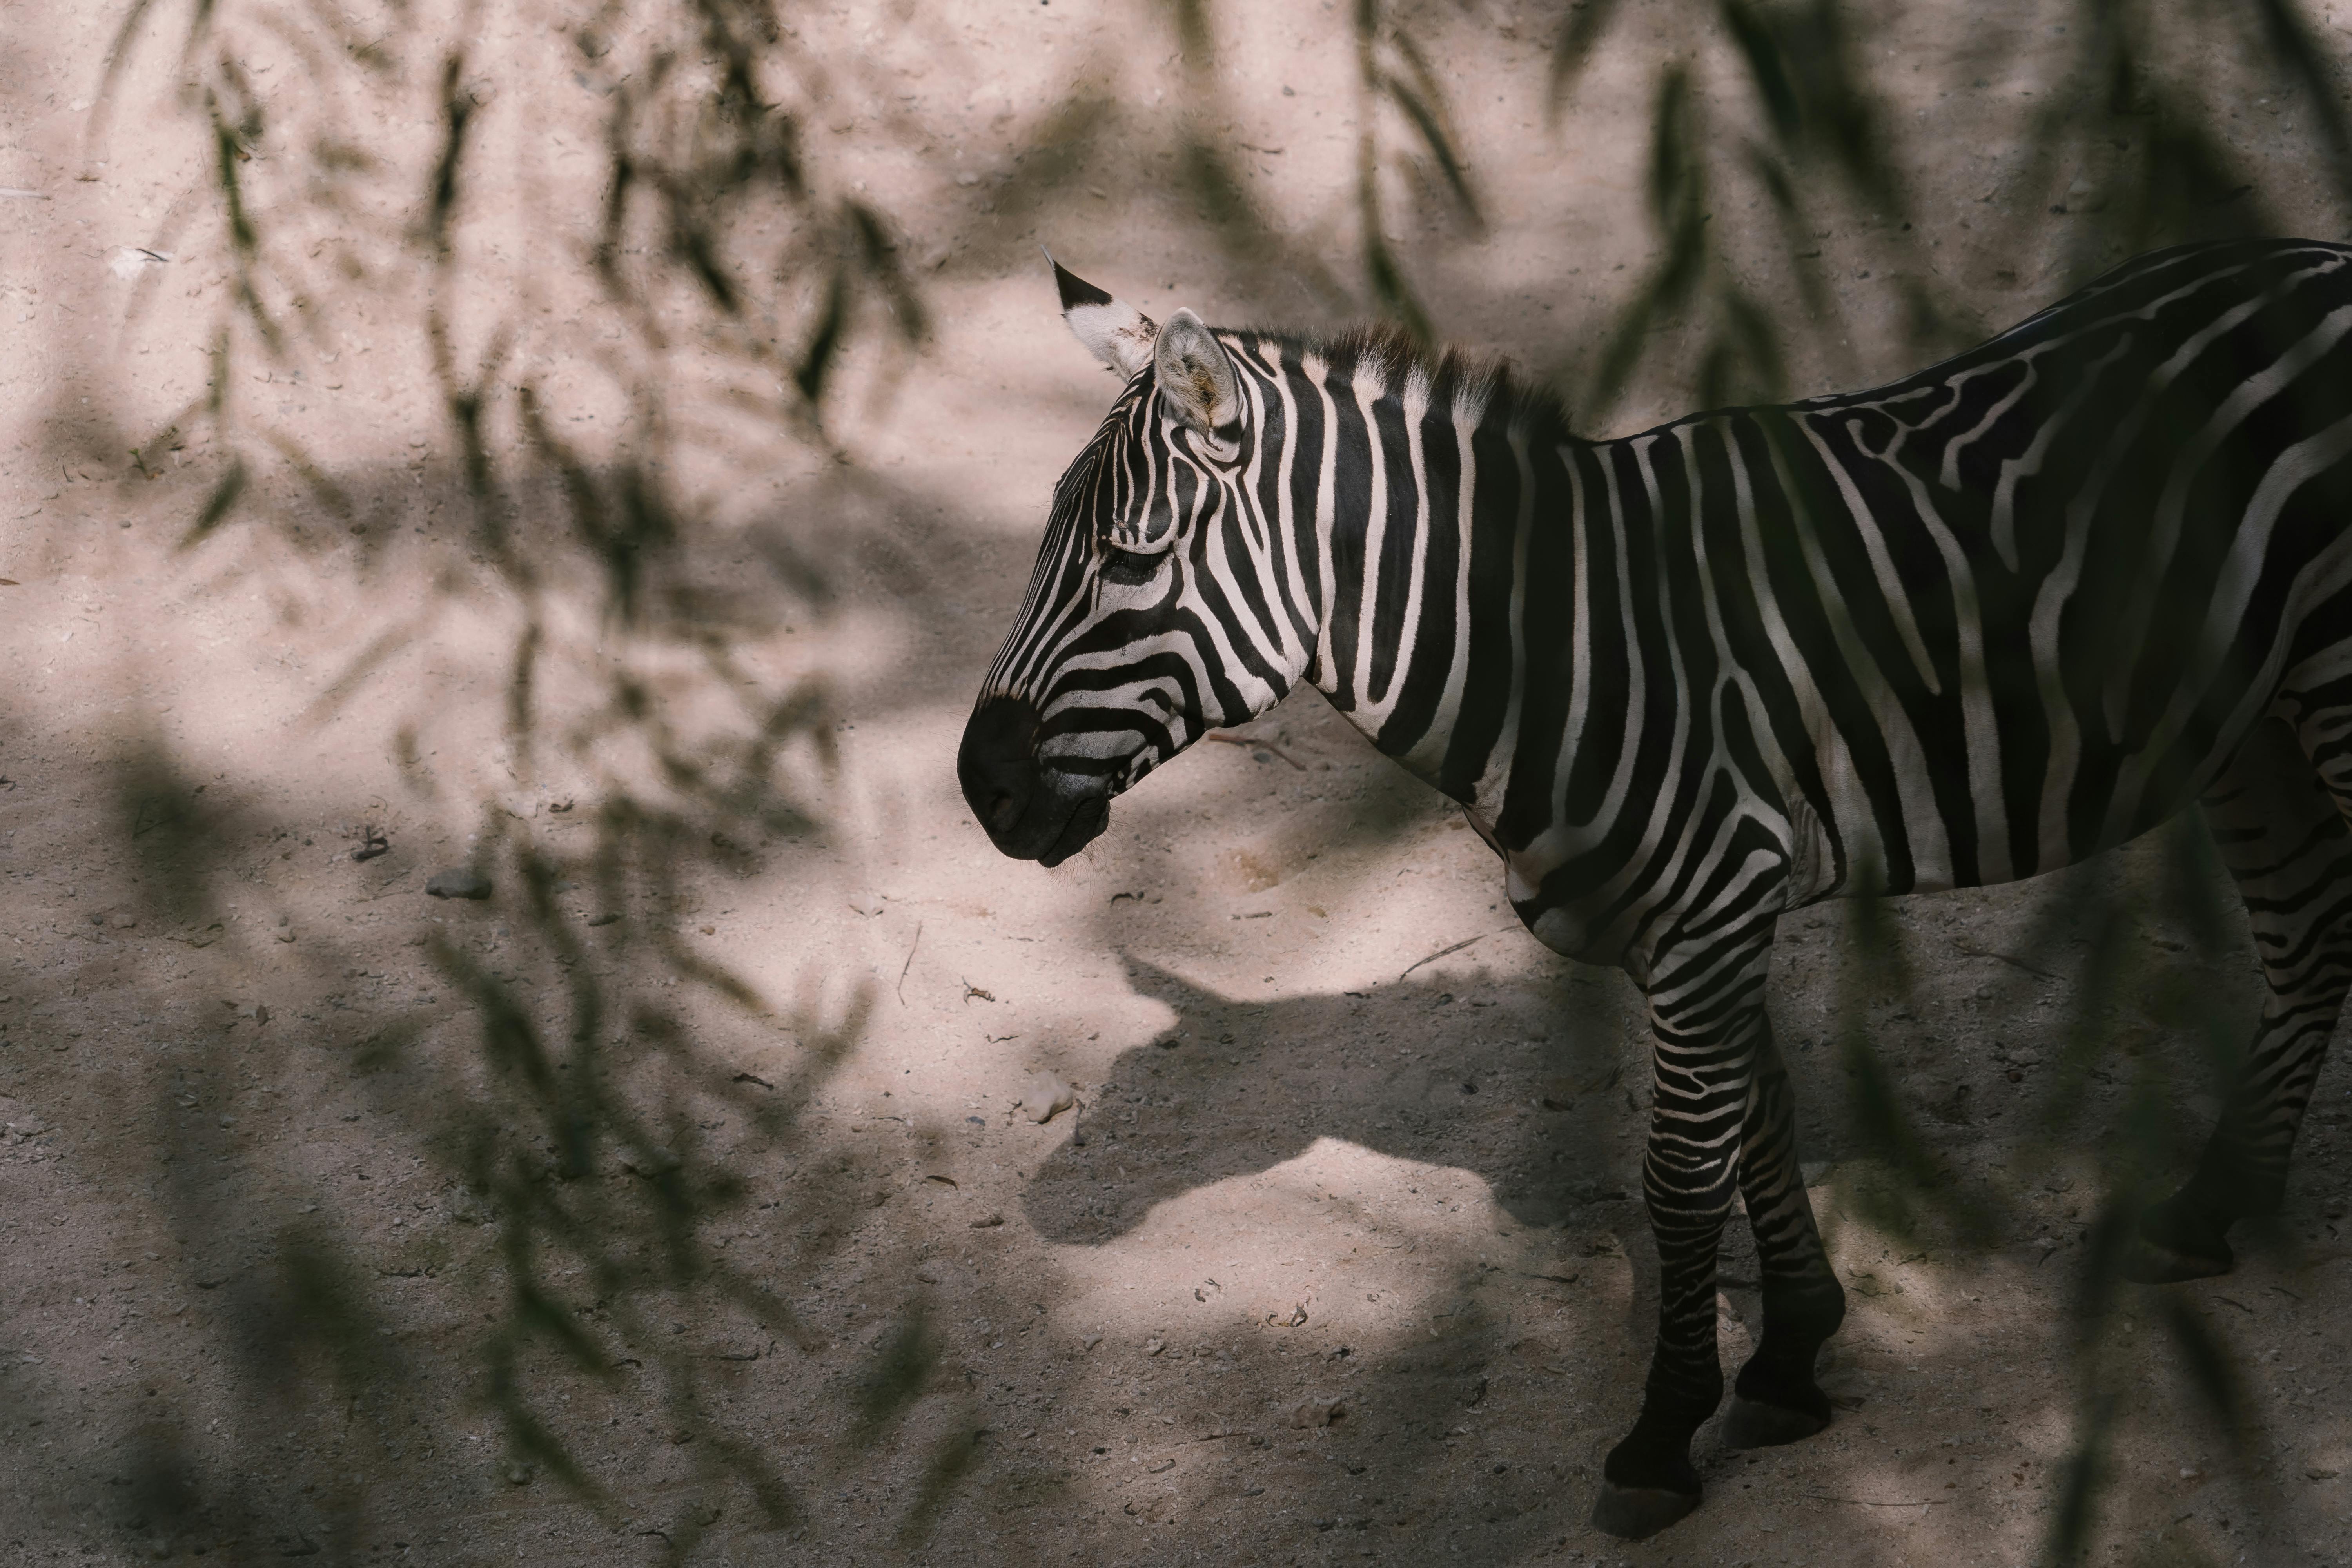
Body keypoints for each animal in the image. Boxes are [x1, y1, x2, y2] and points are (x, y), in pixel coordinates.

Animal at [958, 237, 2352, 1539]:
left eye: (1129, 559)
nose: (979, 790)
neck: (1551, 643)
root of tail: (2316, 259)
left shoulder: (1714, 904)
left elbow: (1681, 1178)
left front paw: (1665, 1433)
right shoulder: (1691, 920)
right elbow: (1760, 1118)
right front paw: (1791, 1353)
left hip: (2321, 694)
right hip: (2245, 726)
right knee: (2304, 937)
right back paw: (2211, 1207)